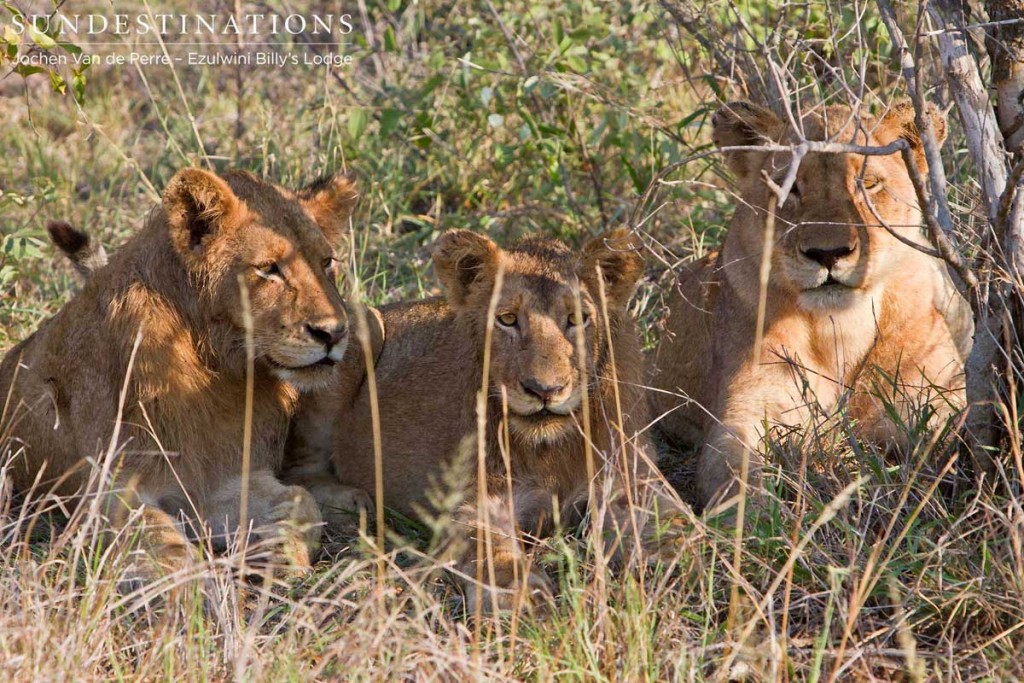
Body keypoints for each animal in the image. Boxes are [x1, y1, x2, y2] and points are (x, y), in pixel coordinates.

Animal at [0, 167, 366, 581]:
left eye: (327, 263)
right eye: (268, 268)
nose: (334, 333)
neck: (217, 368)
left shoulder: (219, 480)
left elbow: (302, 500)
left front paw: (284, 548)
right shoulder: (105, 490)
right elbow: (156, 534)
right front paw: (187, 586)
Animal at [319, 227, 684, 610]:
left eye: (577, 319)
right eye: (507, 319)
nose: (544, 390)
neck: (552, 450)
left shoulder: (632, 474)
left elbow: (664, 520)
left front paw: (672, 560)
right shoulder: (477, 502)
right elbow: (493, 553)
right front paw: (522, 599)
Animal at [651, 100, 970, 507]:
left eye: (867, 184)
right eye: (789, 188)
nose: (828, 253)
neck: (840, 326)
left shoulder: (933, 398)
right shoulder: (748, 409)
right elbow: (733, 469)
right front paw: (752, 515)